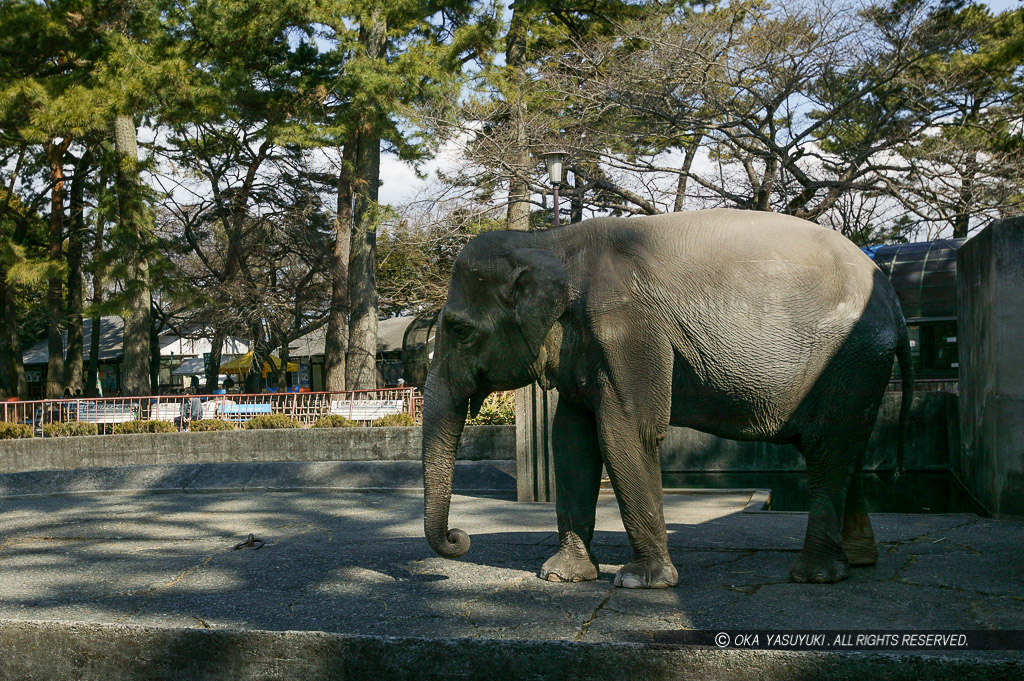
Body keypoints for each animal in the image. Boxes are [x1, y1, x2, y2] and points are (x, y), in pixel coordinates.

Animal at [421, 206, 913, 585]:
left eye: (460, 331)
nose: (458, 538)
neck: (550, 242)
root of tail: (893, 299)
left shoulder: (627, 329)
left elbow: (626, 432)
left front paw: (641, 582)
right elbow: (572, 440)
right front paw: (562, 576)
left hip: (852, 359)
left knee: (828, 451)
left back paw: (814, 576)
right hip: (862, 368)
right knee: (847, 450)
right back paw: (858, 562)